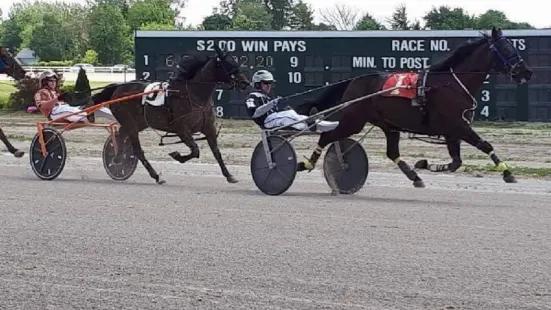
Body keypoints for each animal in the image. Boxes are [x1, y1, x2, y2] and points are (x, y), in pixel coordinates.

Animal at [89, 45, 250, 184]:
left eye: (236, 62)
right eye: (228, 64)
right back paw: (153, 175)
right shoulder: (182, 129)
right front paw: (177, 156)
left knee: (120, 137)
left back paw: (118, 159)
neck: (194, 95)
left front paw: (229, 175)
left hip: (138, 123)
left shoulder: (209, 128)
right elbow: (195, 150)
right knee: (137, 150)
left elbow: (217, 153)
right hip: (130, 123)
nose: (245, 83)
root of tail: (117, 88)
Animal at [298, 27, 536, 189]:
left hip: (388, 125)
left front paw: (424, 165)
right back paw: (308, 164)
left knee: (392, 152)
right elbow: (484, 145)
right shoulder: (457, 126)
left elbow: (456, 162)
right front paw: (507, 172)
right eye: (506, 48)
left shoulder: (452, 132)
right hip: (354, 120)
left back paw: (415, 177)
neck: (451, 83)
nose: (527, 72)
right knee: (327, 137)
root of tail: (355, 80)